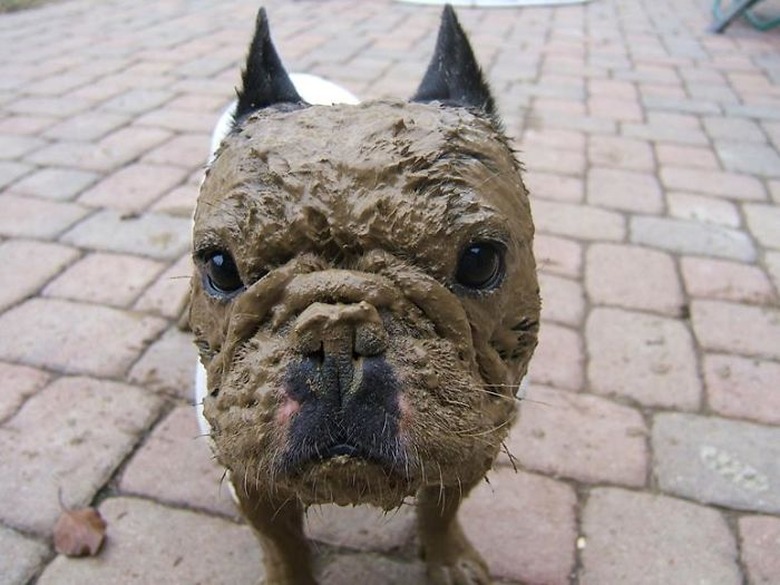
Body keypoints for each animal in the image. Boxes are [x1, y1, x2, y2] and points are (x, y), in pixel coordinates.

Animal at [192, 5, 540, 584]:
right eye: (220, 267)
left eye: (480, 260)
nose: (337, 335)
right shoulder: (248, 471)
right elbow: (283, 543)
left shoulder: (476, 436)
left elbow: (441, 510)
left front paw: (450, 559)